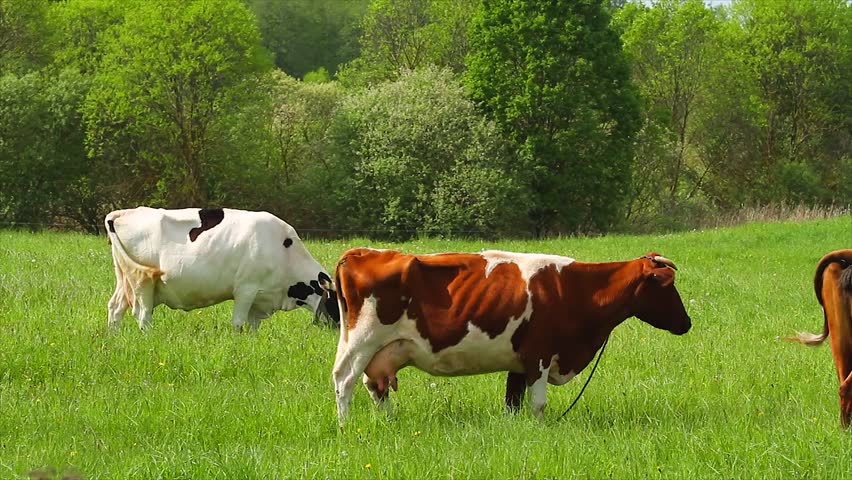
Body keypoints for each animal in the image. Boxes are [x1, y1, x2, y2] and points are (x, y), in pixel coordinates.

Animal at [105, 207, 338, 331]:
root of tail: (124, 213)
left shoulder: (260, 300)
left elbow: (253, 328)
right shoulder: (246, 288)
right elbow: (238, 323)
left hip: (124, 277)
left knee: (115, 306)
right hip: (142, 282)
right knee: (143, 315)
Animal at [331, 248, 692, 424]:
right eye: (667, 287)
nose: (687, 323)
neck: (576, 289)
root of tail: (360, 251)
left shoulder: (518, 361)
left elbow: (512, 402)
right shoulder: (540, 355)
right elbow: (538, 404)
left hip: (383, 350)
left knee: (375, 386)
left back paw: (390, 422)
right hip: (361, 342)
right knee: (344, 380)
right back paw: (346, 426)